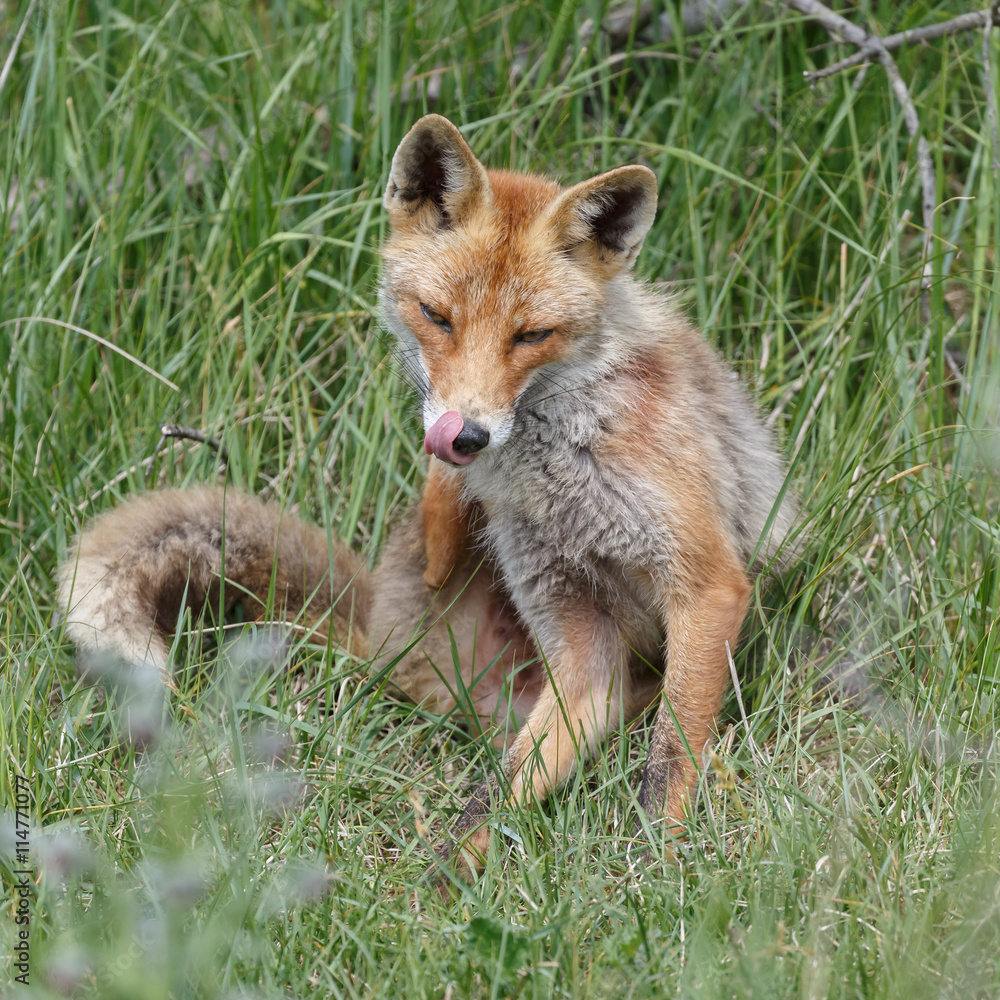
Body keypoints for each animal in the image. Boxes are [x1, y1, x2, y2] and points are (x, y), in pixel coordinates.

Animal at [57, 114, 797, 880]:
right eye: (437, 317)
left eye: (533, 335)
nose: (466, 436)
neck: (563, 473)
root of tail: (379, 630)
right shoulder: (580, 641)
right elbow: (493, 798)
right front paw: (441, 886)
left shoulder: (705, 584)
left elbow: (671, 756)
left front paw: (662, 864)